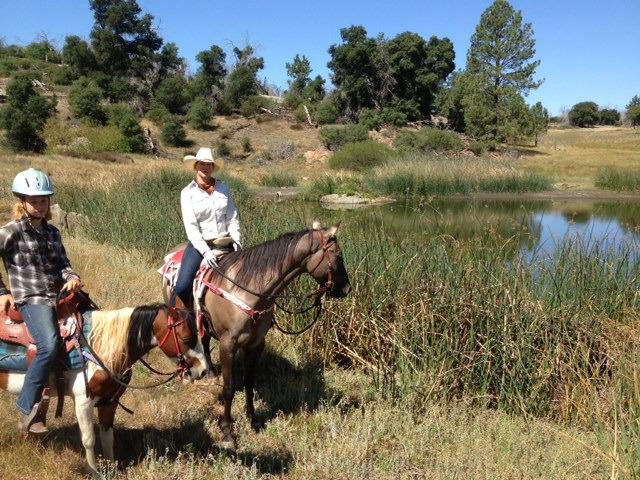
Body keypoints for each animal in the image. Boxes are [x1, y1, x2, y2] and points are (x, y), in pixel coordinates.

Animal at [0, 306, 206, 474]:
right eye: (187, 338)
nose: (203, 370)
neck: (99, 350)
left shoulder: (109, 402)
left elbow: (107, 437)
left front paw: (112, 468)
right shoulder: (83, 402)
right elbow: (89, 439)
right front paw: (94, 471)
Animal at [160, 221, 350, 450]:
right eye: (338, 257)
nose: (346, 289)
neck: (249, 292)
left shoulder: (256, 344)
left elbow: (249, 382)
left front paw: (253, 420)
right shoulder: (228, 345)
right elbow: (230, 387)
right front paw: (228, 431)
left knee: (204, 340)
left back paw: (211, 372)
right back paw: (188, 373)